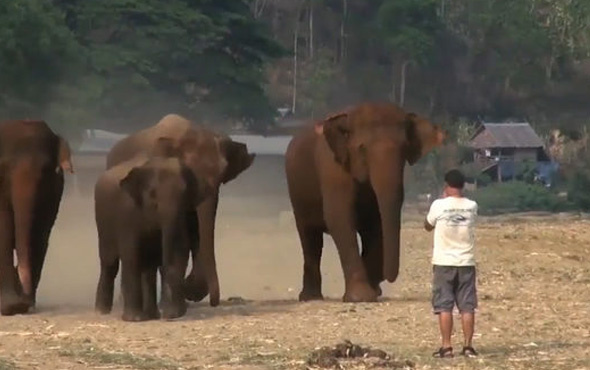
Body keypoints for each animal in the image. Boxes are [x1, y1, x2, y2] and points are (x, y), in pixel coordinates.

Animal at [0, 119, 74, 316]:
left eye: (45, 170)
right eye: (4, 168)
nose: (24, 301)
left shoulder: (54, 191)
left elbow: (39, 235)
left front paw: (25, 304)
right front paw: (10, 307)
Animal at [95, 145, 210, 320]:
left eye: (185, 193)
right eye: (152, 194)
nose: (168, 315)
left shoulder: (189, 212)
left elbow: (179, 249)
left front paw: (172, 314)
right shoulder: (127, 211)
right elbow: (131, 254)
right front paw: (134, 320)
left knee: (149, 267)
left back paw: (151, 315)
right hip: (103, 223)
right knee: (110, 263)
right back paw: (102, 312)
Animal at [284, 102, 446, 304]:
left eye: (405, 149)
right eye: (362, 149)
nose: (385, 278)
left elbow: (375, 223)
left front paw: (372, 292)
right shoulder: (333, 169)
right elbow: (339, 218)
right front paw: (360, 297)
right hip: (297, 193)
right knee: (310, 238)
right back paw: (310, 297)